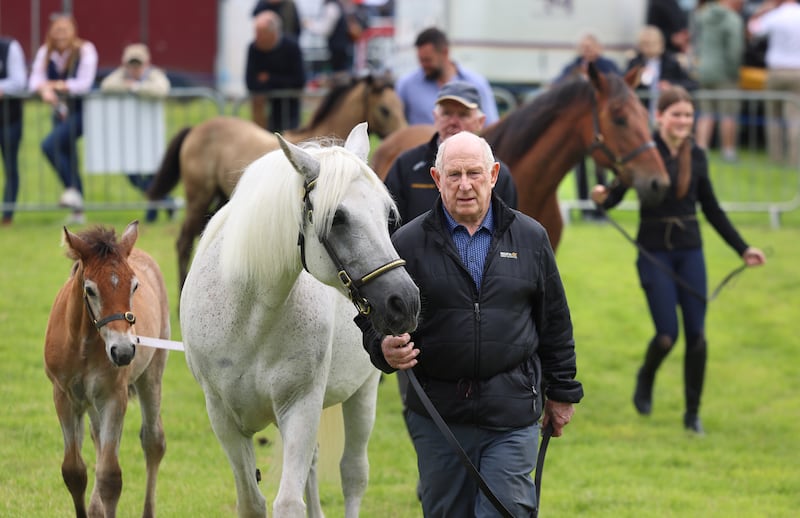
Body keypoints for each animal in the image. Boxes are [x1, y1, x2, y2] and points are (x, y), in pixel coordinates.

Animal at [44, 221, 171, 518]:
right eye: (90, 289)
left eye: (135, 286)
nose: (123, 352)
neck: (83, 342)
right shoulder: (63, 396)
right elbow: (74, 471)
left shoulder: (114, 396)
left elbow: (110, 477)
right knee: (98, 438)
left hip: (151, 376)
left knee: (153, 441)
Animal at [147, 74, 407, 292]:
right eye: (385, 110)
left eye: (400, 106)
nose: (401, 135)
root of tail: (197, 129)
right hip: (198, 199)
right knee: (183, 242)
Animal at [179, 123, 420, 518]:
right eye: (337, 218)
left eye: (388, 214)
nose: (405, 302)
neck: (248, 321)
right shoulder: (224, 419)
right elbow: (252, 502)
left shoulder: (300, 405)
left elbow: (290, 502)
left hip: (363, 391)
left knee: (353, 474)